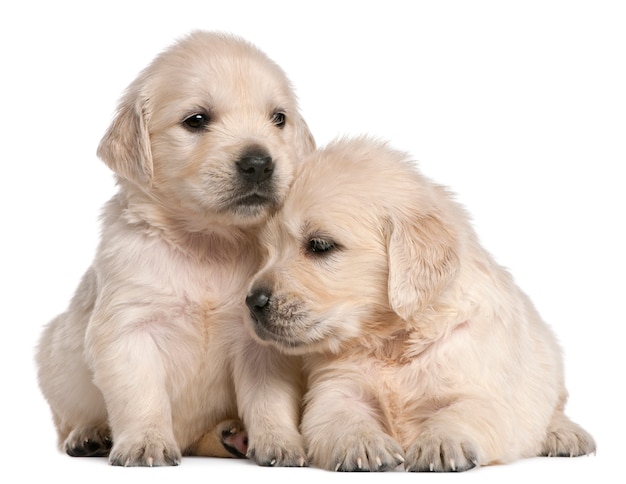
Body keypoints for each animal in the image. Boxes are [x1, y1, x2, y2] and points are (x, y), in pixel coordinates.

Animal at [35, 29, 312, 466]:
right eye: (196, 120)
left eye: (278, 118)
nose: (259, 163)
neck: (208, 243)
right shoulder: (128, 328)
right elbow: (141, 394)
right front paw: (145, 441)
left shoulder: (260, 341)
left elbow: (269, 398)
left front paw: (280, 442)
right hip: (54, 357)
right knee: (67, 420)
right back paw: (90, 434)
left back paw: (233, 435)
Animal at [244, 136, 596, 472]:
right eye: (267, 251)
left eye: (319, 245)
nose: (251, 301)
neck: (392, 342)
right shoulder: (336, 388)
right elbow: (340, 414)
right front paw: (363, 443)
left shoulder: (480, 387)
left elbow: (461, 411)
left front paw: (441, 443)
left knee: (554, 408)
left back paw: (565, 434)